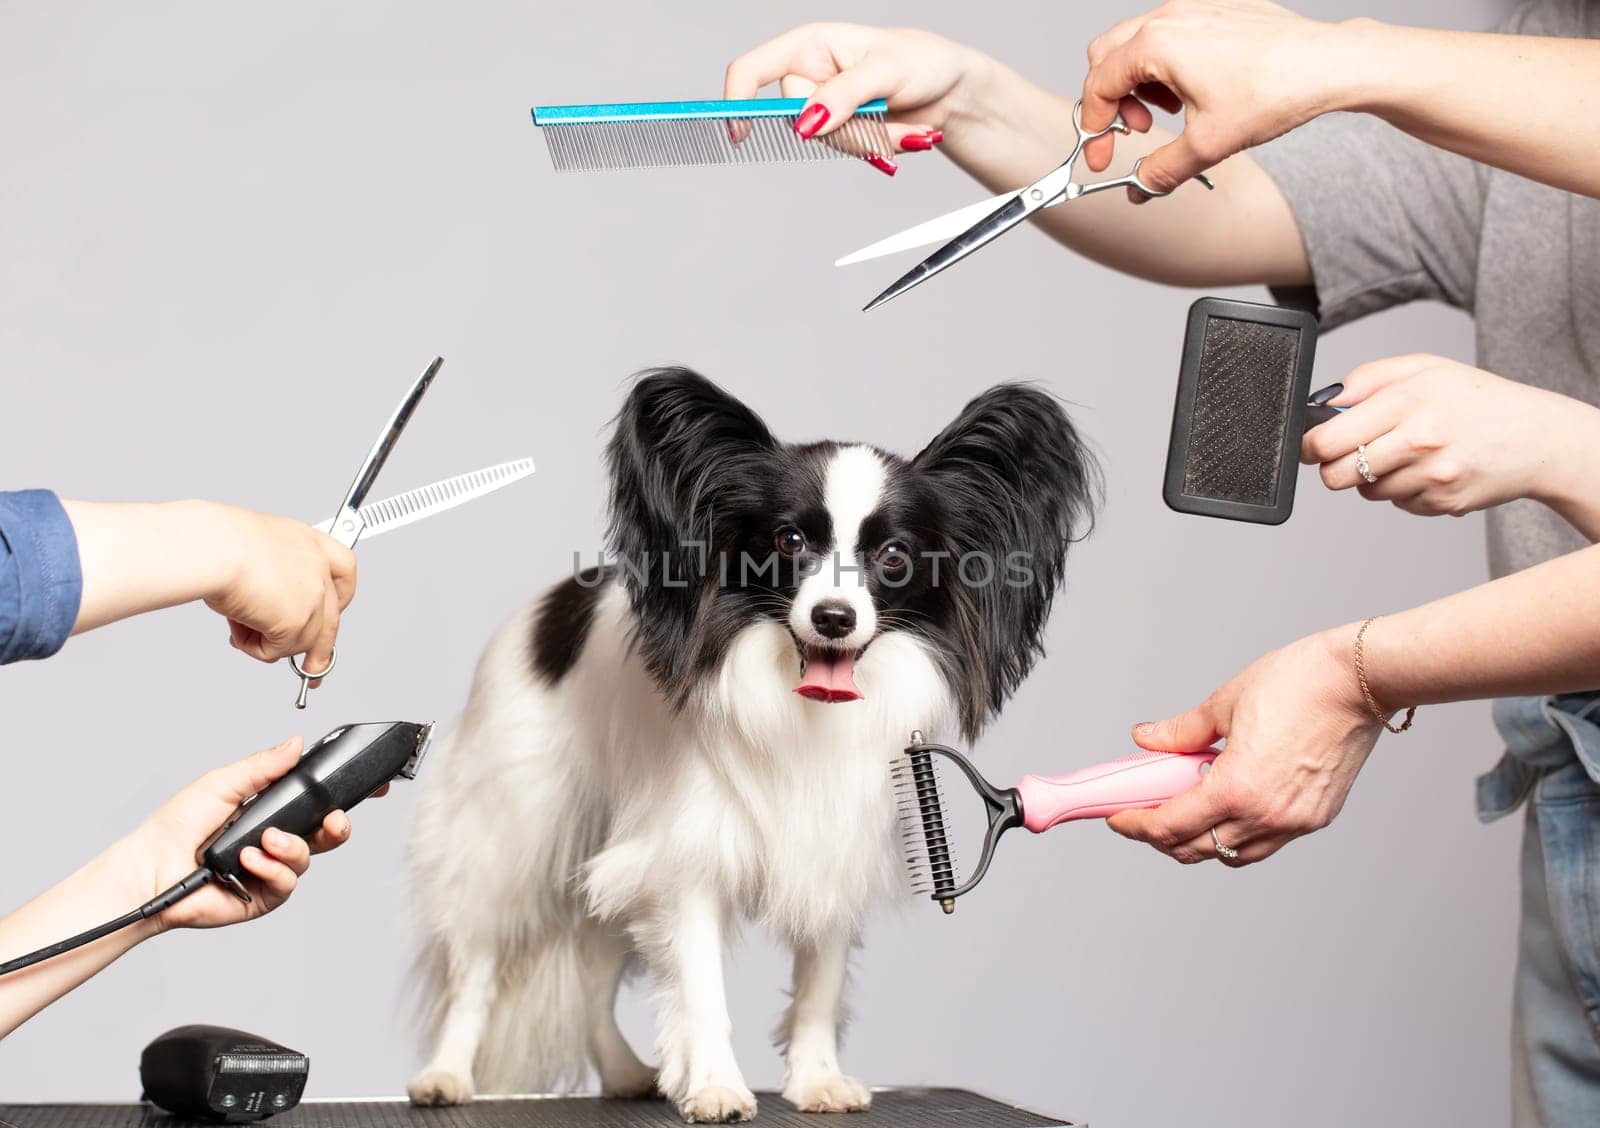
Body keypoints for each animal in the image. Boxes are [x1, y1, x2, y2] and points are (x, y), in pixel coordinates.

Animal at [406, 369, 1094, 1120]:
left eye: (893, 556)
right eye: (790, 541)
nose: (834, 617)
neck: (805, 711)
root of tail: (547, 609)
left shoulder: (831, 845)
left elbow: (820, 982)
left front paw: (817, 1079)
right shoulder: (687, 860)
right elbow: (701, 990)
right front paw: (714, 1086)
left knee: (590, 970)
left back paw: (621, 1072)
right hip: (512, 833)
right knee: (476, 964)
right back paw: (445, 1076)